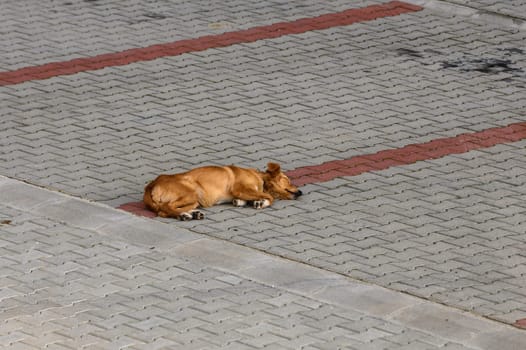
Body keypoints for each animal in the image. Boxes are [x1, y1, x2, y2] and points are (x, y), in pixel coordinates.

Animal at [144, 162, 304, 219]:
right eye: (287, 180)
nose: (301, 192)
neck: (261, 179)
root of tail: (150, 186)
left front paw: (242, 202)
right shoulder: (239, 189)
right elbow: (269, 198)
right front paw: (261, 202)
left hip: (195, 199)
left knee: (163, 211)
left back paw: (192, 213)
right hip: (192, 193)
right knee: (166, 207)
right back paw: (184, 215)